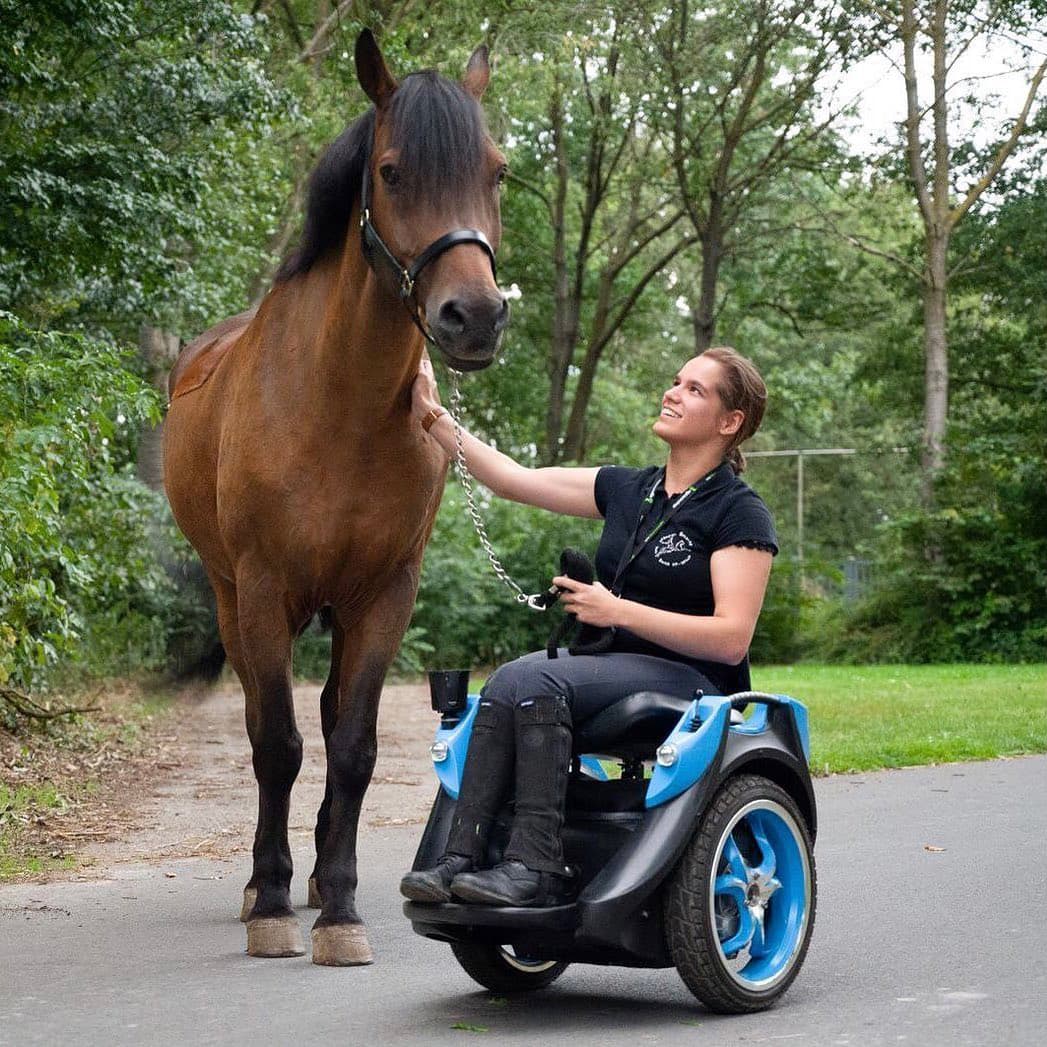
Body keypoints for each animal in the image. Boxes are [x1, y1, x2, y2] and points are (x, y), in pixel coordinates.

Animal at [163, 30, 508, 966]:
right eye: (390, 171)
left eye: (496, 171)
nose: (474, 317)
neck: (338, 408)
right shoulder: (264, 589)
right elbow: (276, 745)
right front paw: (275, 905)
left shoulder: (385, 593)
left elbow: (350, 745)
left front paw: (342, 908)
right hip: (234, 599)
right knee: (263, 719)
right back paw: (265, 885)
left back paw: (319, 877)